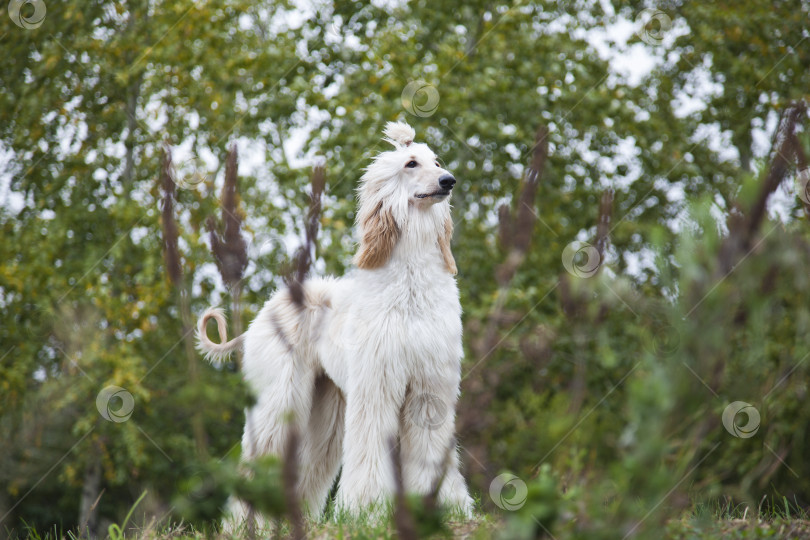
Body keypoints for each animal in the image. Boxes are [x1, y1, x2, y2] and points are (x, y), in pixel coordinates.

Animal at [197, 121, 474, 524]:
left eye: (437, 161)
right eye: (411, 163)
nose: (448, 180)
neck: (410, 291)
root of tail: (263, 312)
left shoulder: (430, 387)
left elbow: (430, 450)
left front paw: (443, 507)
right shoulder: (376, 383)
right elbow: (371, 448)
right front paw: (367, 509)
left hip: (327, 401)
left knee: (313, 460)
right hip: (279, 396)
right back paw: (246, 524)